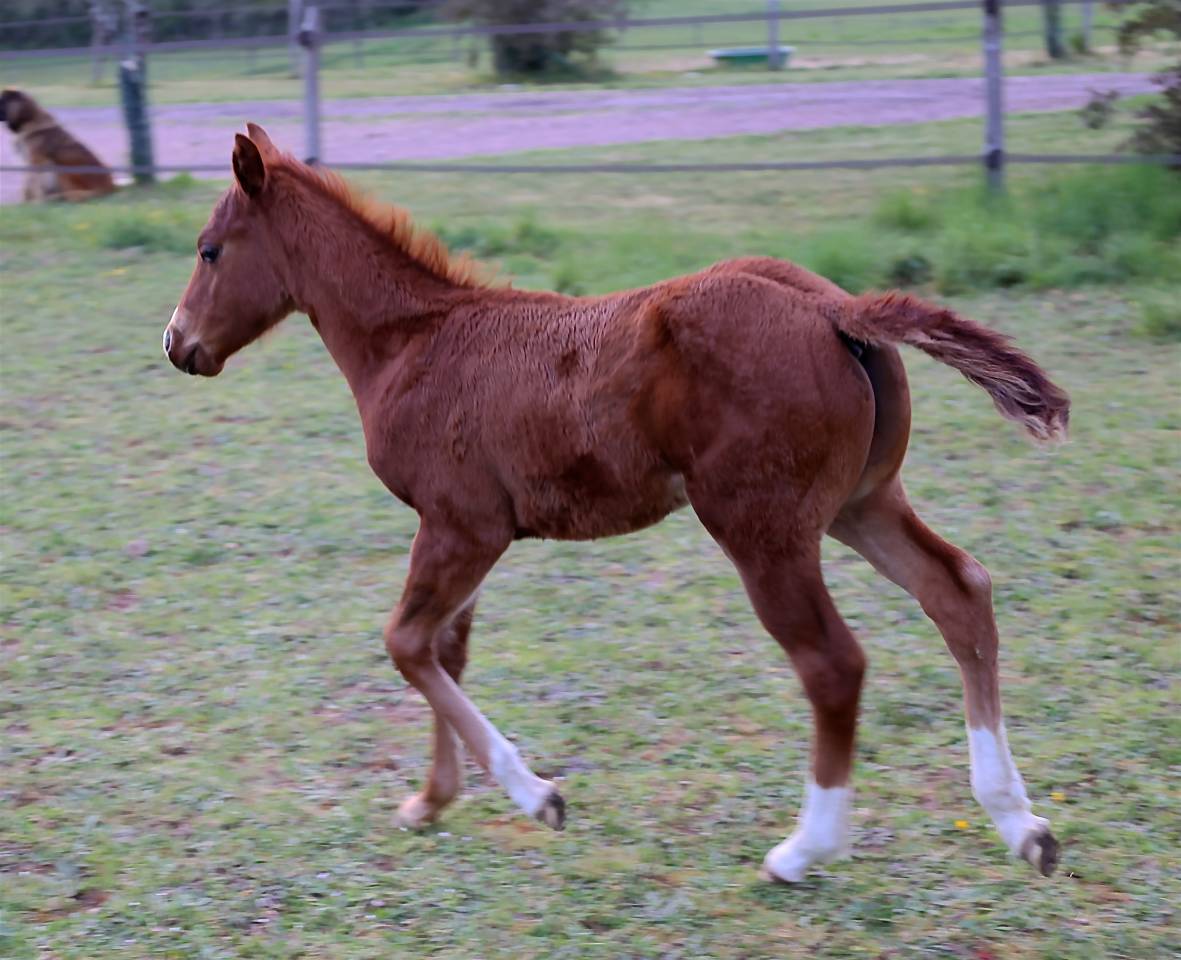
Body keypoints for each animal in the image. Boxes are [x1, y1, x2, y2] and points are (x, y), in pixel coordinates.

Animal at [163, 125, 1069, 883]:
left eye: (209, 250)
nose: (176, 344)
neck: (414, 343)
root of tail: (832, 307)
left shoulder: (461, 524)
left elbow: (406, 643)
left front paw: (536, 795)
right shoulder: (463, 531)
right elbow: (444, 651)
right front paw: (430, 801)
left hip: (760, 527)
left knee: (833, 663)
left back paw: (802, 849)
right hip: (861, 503)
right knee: (958, 591)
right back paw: (1019, 822)